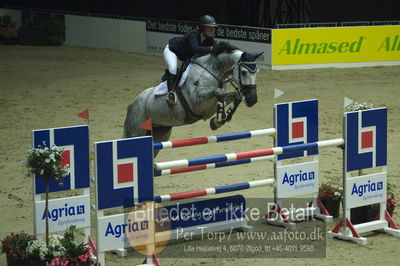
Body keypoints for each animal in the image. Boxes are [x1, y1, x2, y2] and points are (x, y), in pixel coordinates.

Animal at [123, 42, 264, 156]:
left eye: (257, 71)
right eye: (244, 72)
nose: (252, 99)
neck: (213, 70)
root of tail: (131, 104)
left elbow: (234, 96)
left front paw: (219, 120)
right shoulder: (196, 100)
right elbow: (218, 92)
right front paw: (219, 118)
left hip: (160, 133)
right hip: (136, 131)